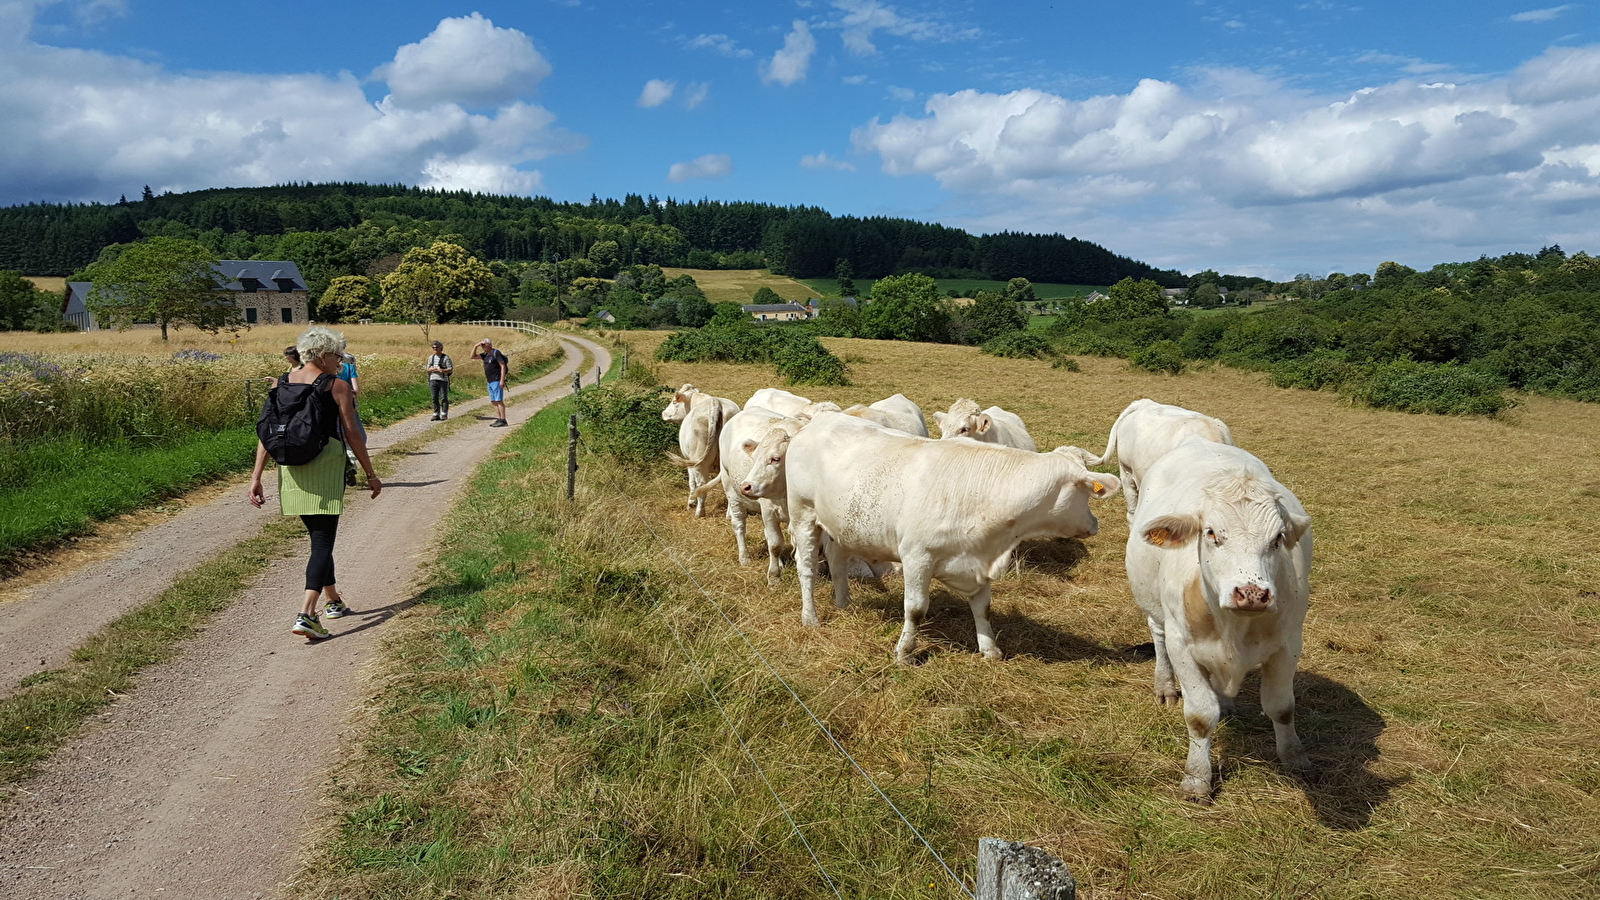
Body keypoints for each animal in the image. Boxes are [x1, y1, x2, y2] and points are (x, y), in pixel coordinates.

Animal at [659, 384, 739, 512]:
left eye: (674, 402)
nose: (664, 413)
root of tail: (715, 402)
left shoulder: (689, 461)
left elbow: (692, 482)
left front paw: (691, 502)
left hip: (699, 462)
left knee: (701, 484)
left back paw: (699, 512)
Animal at [742, 413, 1120, 659]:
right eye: (1087, 491)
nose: (1095, 524)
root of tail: (814, 424)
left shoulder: (977, 558)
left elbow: (983, 608)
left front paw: (990, 650)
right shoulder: (917, 558)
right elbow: (915, 610)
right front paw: (904, 652)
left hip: (839, 524)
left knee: (836, 563)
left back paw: (843, 602)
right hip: (804, 514)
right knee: (806, 567)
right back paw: (811, 617)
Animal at [1126, 435, 1312, 797]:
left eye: (1278, 538)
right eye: (1211, 533)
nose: (1252, 593)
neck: (1234, 627)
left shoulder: (1288, 645)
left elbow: (1282, 707)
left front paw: (1295, 756)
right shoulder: (1182, 646)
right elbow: (1199, 715)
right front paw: (1197, 778)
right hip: (1154, 609)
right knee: (1158, 637)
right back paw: (1165, 686)